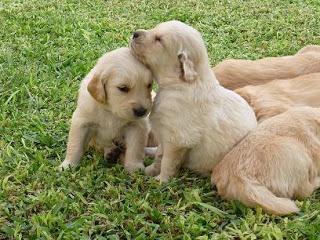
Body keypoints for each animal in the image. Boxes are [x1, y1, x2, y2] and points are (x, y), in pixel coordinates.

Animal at [129, 20, 256, 182]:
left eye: (159, 39)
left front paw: (161, 181)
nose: (135, 34)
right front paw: (151, 170)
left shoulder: (177, 140)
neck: (181, 83)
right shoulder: (165, 133)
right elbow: (160, 154)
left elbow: (167, 162)